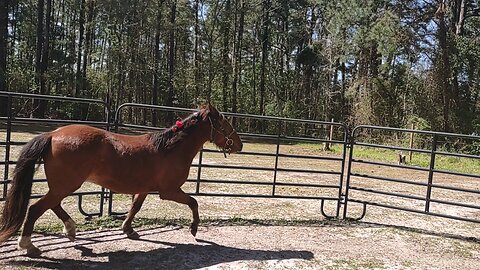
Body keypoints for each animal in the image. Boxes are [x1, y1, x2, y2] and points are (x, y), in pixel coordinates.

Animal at [0, 103, 242, 255]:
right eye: (224, 125)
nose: (239, 145)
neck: (168, 149)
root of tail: (53, 134)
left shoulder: (144, 189)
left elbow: (135, 208)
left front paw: (128, 229)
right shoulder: (169, 191)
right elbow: (193, 202)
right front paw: (194, 229)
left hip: (62, 185)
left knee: (53, 205)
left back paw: (70, 230)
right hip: (66, 184)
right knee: (36, 208)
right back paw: (28, 245)